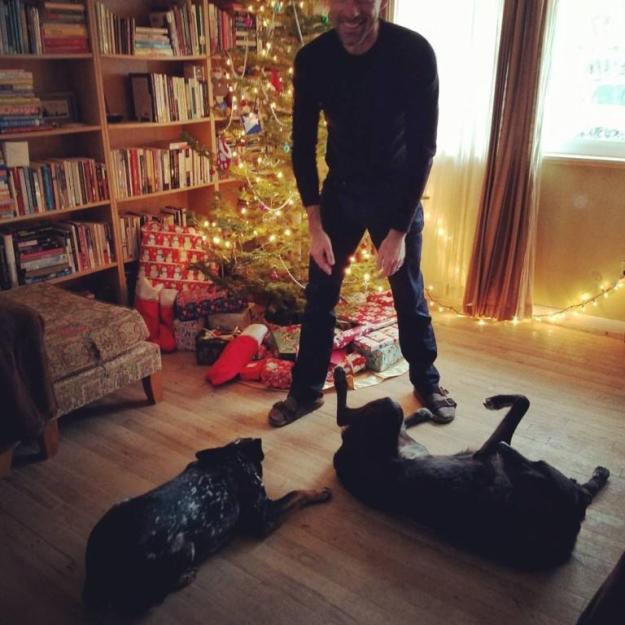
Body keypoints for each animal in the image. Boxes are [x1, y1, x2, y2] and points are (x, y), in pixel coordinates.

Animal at [83, 438, 331, 614]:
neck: (230, 457)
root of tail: (97, 574)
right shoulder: (265, 517)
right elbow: (296, 493)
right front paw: (319, 492)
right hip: (185, 546)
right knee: (149, 600)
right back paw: (185, 576)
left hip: (119, 504)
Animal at [332, 367, 609, 569]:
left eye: (538, 466)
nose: (504, 450)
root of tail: (340, 457)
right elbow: (524, 402)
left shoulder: (489, 453)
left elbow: (523, 403)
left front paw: (496, 402)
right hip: (406, 435)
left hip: (390, 411)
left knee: (345, 416)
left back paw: (340, 378)